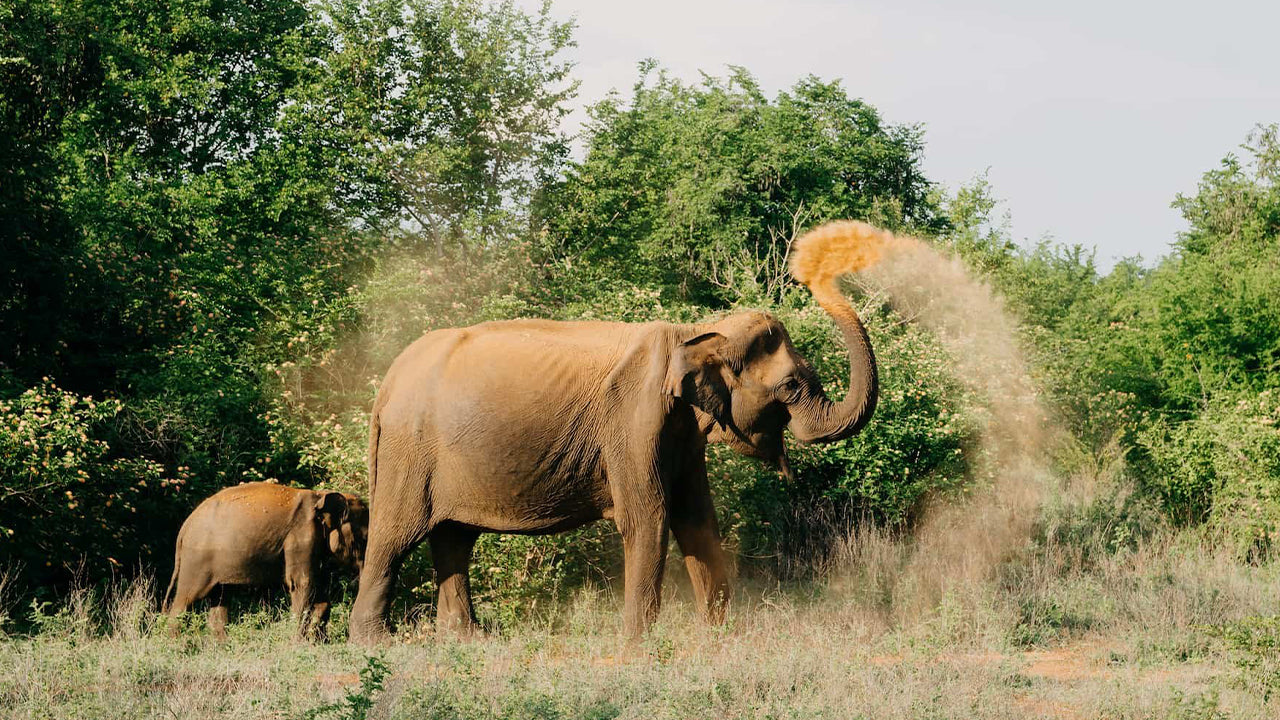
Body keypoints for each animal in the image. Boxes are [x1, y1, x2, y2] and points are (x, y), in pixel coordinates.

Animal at [161, 481, 366, 638]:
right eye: (364, 538)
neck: (320, 497)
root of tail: (184, 529)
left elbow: (319, 591)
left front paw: (317, 643)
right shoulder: (302, 537)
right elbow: (302, 583)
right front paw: (297, 644)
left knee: (220, 598)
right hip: (197, 559)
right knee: (186, 599)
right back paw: (179, 646)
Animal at [353, 222, 880, 638]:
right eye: (790, 386)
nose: (819, 261)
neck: (695, 332)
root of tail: (387, 382)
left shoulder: (680, 431)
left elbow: (697, 518)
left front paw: (720, 639)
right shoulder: (633, 421)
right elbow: (648, 518)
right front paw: (637, 649)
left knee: (454, 538)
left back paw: (466, 641)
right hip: (408, 452)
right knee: (393, 538)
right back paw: (373, 645)